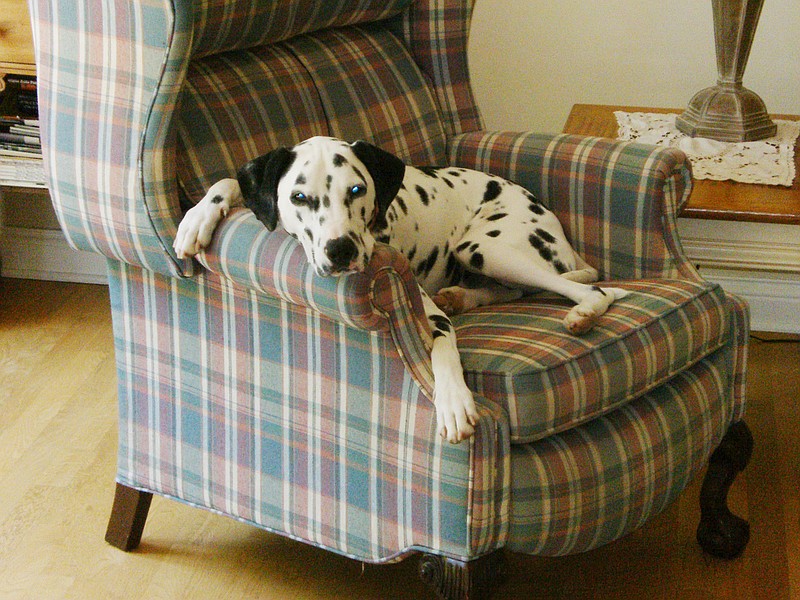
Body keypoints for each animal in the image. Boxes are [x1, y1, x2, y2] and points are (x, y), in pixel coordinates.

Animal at [173, 138, 624, 442]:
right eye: (298, 197)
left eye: (356, 190)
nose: (341, 250)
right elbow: (230, 181)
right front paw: (197, 218)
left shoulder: (430, 317)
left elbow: (443, 348)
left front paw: (454, 401)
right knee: (517, 290)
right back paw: (462, 296)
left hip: (485, 246)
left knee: (591, 290)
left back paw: (582, 313)